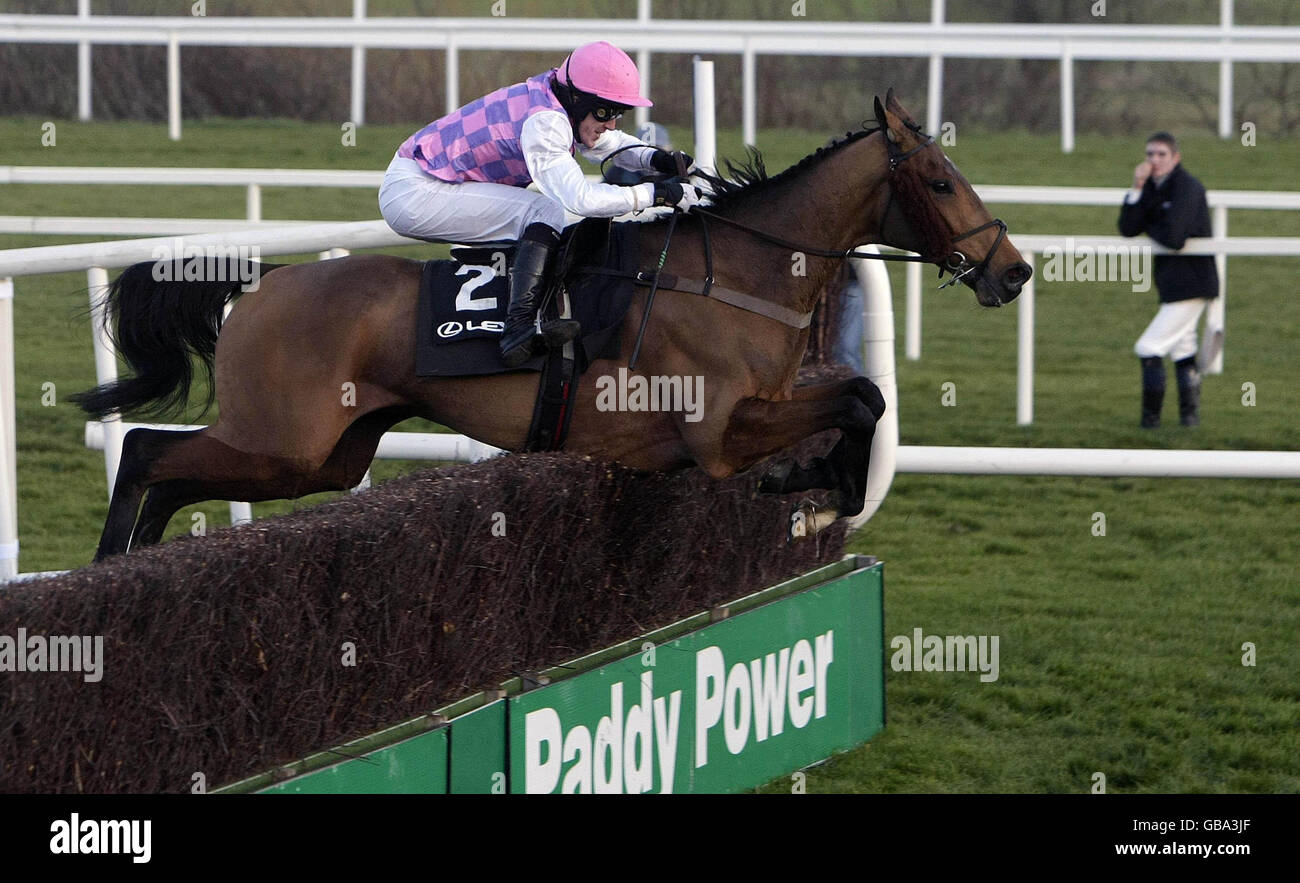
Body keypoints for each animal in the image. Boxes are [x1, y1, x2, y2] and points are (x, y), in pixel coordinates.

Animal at [76, 89, 1029, 559]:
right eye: (939, 181)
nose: (1013, 270)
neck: (738, 273)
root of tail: (265, 285)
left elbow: (862, 395)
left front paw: (821, 485)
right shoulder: (719, 432)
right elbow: (857, 400)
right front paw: (815, 485)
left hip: (324, 454)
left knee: (176, 472)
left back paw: (137, 562)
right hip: (285, 438)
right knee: (149, 450)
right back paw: (112, 563)